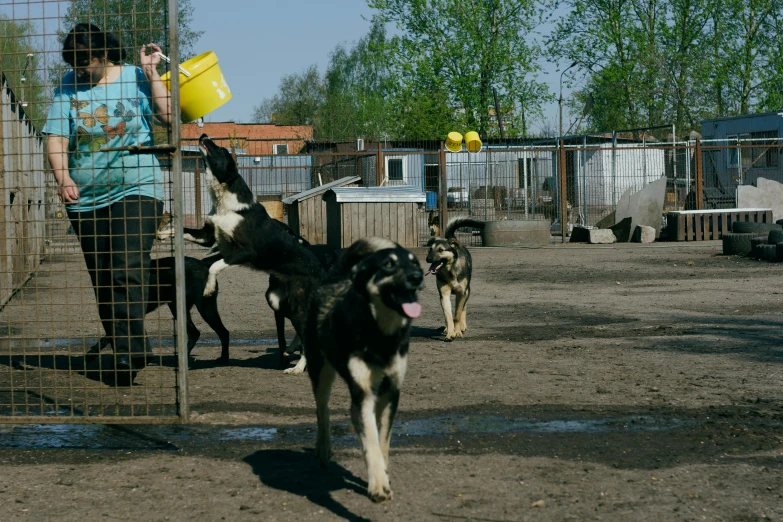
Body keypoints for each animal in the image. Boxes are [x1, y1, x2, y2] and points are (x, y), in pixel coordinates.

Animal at [88, 255, 231, 362]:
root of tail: (203, 263)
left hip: (205, 308)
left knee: (221, 332)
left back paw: (223, 358)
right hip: (180, 308)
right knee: (196, 333)